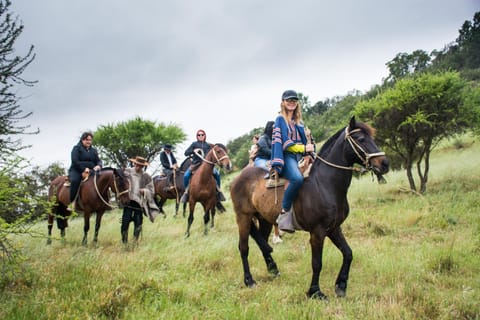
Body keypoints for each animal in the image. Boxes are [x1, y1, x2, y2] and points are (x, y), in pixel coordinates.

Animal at [230, 117, 390, 300]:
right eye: (361, 139)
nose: (385, 163)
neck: (324, 184)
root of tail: (237, 179)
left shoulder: (334, 228)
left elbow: (348, 253)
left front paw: (341, 286)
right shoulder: (317, 231)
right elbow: (317, 263)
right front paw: (315, 291)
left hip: (264, 220)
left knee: (261, 242)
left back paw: (273, 269)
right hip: (243, 217)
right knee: (244, 248)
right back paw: (249, 280)